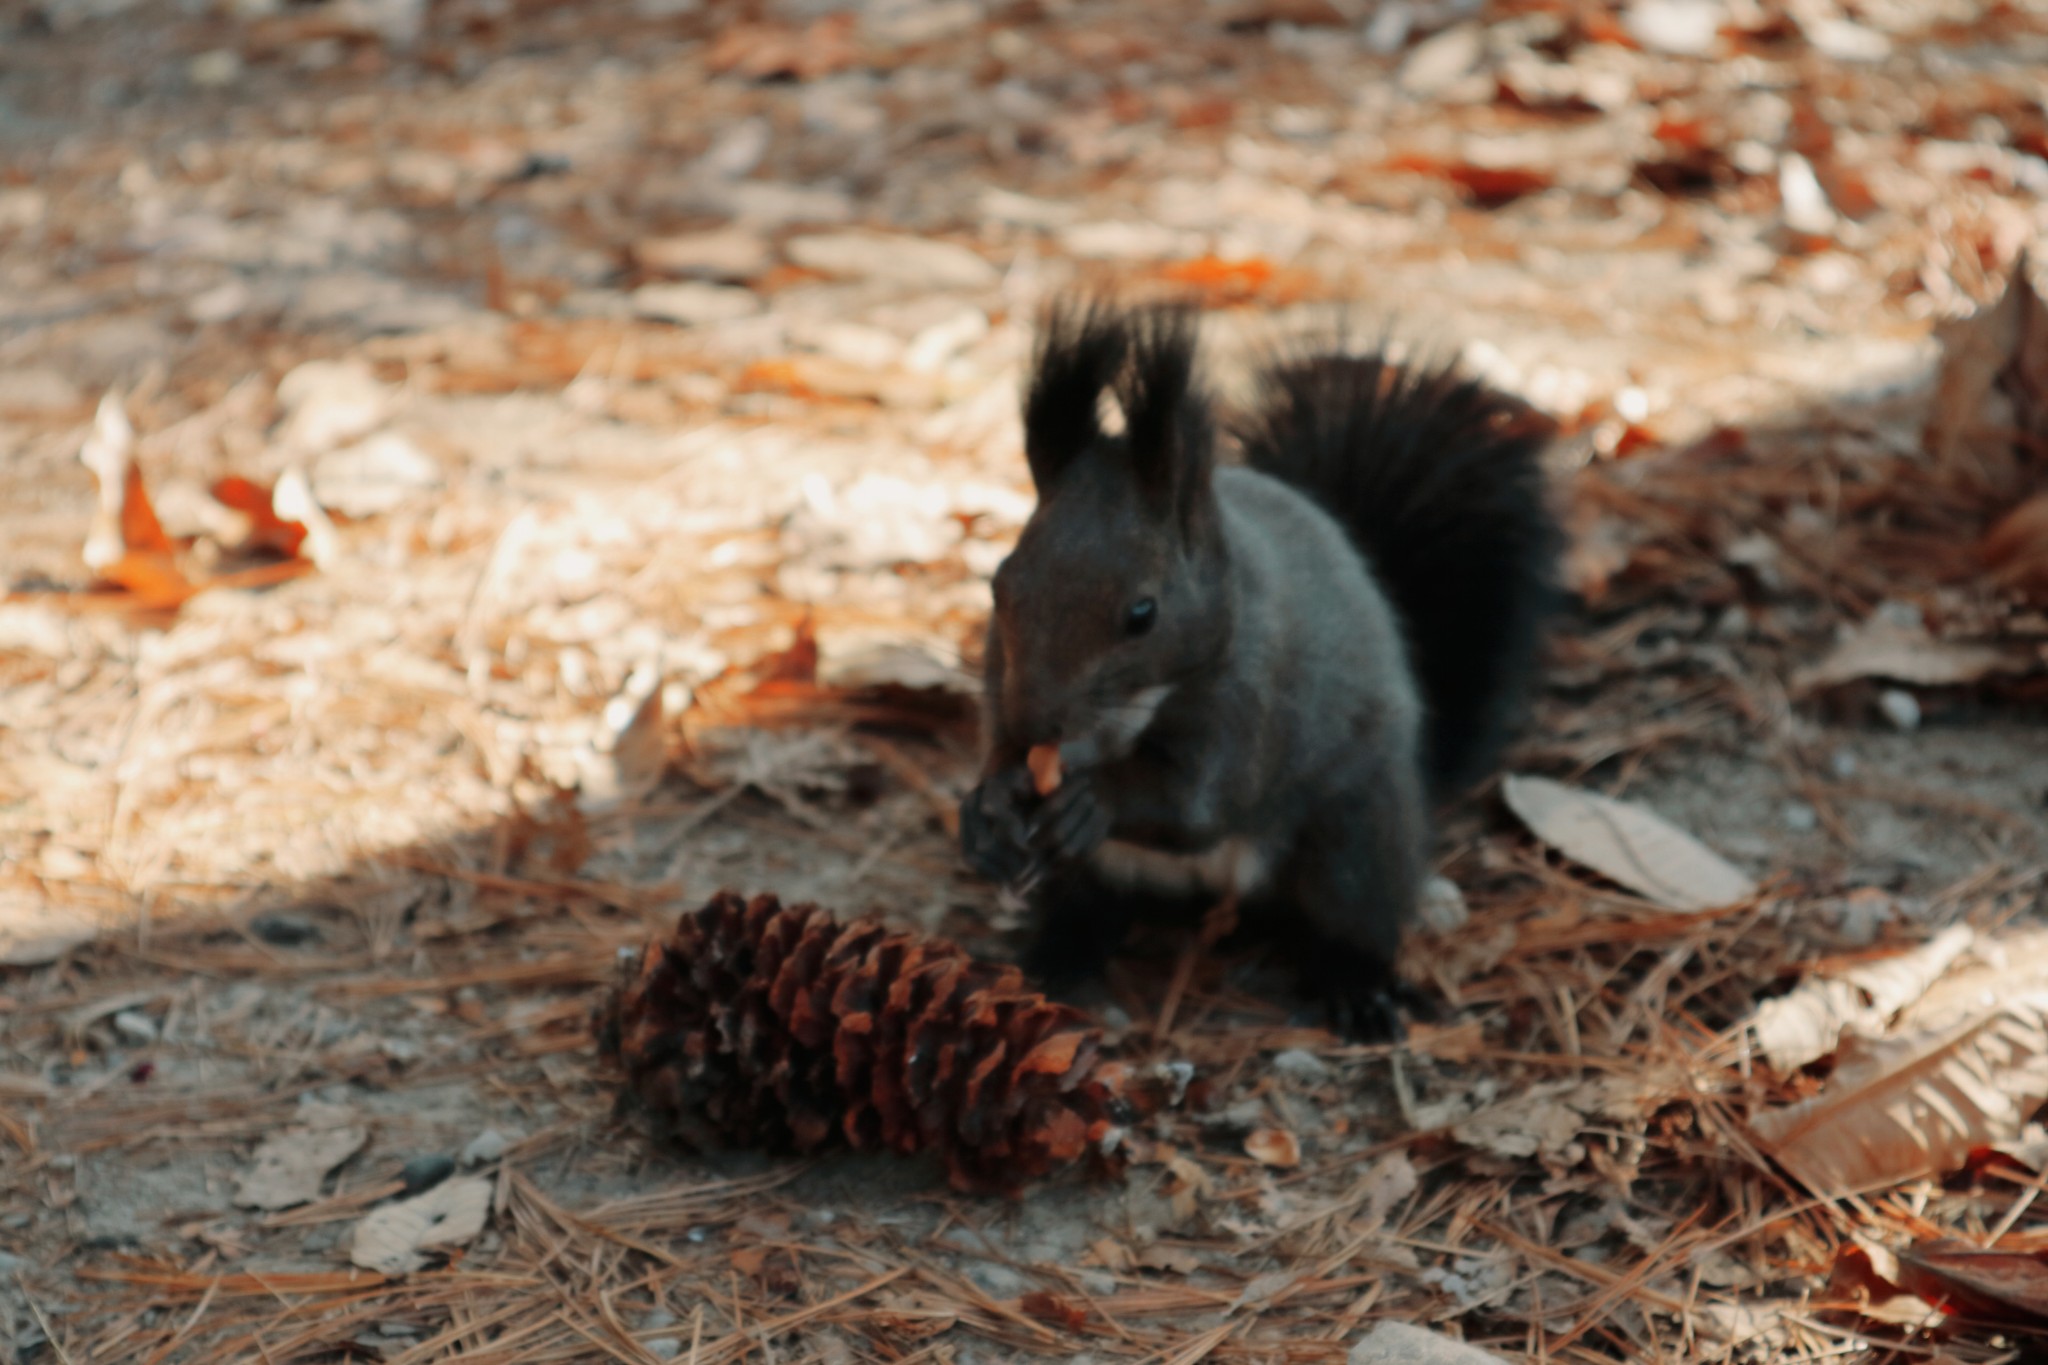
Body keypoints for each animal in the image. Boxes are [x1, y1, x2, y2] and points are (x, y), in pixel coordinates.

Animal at [958, 298, 1564, 1035]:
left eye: (1142, 613)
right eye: (999, 584)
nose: (1035, 720)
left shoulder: (1255, 702)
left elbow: (1197, 801)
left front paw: (1095, 797)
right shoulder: (1000, 677)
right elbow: (999, 748)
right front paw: (987, 808)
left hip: (1353, 835)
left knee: (1353, 913)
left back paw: (1359, 990)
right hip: (1089, 873)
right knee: (1088, 914)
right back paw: (1047, 964)